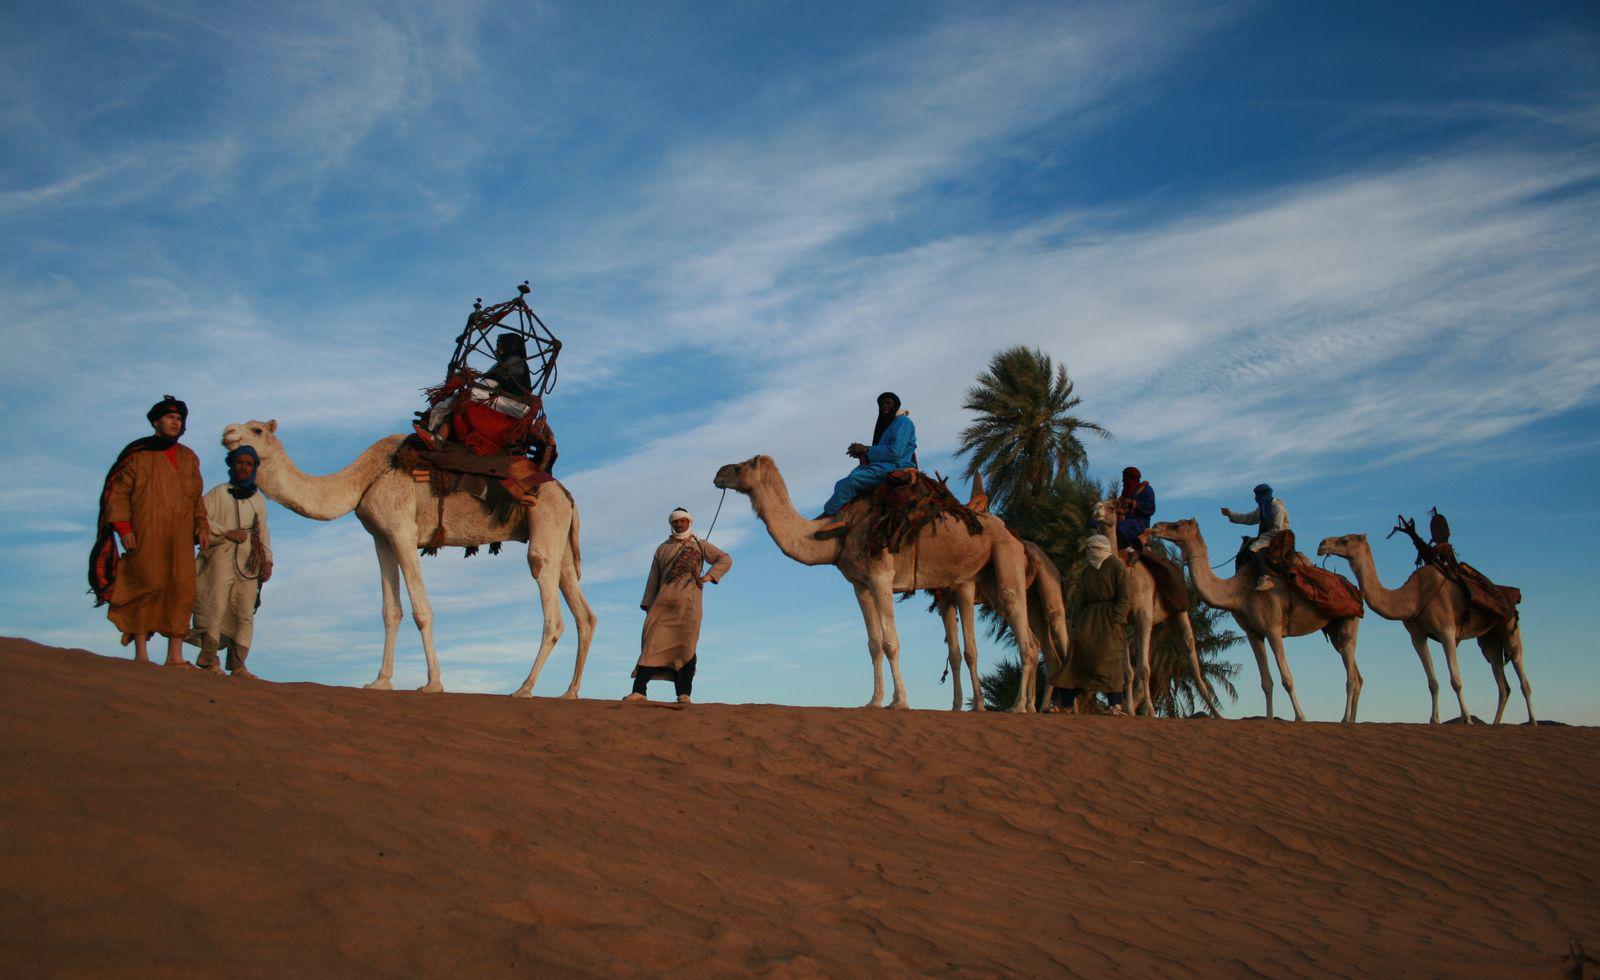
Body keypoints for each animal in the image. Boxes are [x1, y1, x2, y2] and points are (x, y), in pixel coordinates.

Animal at [222, 419, 598, 698]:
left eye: (256, 430)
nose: (228, 432)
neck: (366, 478)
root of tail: (567, 494)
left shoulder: (403, 531)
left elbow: (421, 610)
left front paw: (432, 683)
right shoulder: (381, 537)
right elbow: (391, 611)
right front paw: (380, 681)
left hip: (545, 525)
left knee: (551, 607)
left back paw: (524, 688)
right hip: (561, 541)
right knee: (584, 612)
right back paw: (570, 692)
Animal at [713, 454, 1036, 707]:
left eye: (739, 467)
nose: (718, 474)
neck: (836, 532)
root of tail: (1015, 536)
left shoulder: (881, 577)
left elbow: (891, 641)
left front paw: (900, 701)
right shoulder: (860, 585)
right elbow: (874, 643)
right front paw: (875, 701)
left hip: (1005, 560)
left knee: (1022, 632)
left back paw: (1018, 706)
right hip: (978, 580)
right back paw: (1005, 706)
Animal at [1094, 502, 1216, 717]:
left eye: (1112, 506)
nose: (1097, 508)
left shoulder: (1143, 614)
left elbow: (1143, 669)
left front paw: (1149, 711)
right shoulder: (1124, 620)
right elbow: (1129, 670)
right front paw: (1128, 710)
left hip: (1178, 613)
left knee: (1190, 653)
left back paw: (1217, 714)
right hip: (1159, 625)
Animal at [1152, 522, 1363, 720]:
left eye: (1177, 525)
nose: (1156, 527)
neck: (1238, 592)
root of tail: (1355, 590)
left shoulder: (1273, 629)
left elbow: (1287, 679)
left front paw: (1300, 717)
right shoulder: (1253, 634)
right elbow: (1266, 682)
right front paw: (1269, 719)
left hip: (1348, 621)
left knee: (1351, 676)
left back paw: (1345, 720)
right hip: (1334, 629)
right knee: (1357, 676)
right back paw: (1350, 720)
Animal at [1318, 531, 1529, 723]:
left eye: (1345, 540)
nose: (1322, 544)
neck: (1414, 597)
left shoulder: (1446, 631)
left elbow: (1456, 680)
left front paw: (1468, 719)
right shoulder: (1417, 636)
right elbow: (1432, 682)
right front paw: (1434, 720)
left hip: (1509, 624)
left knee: (1521, 672)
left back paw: (1532, 721)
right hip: (1489, 638)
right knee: (1502, 681)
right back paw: (1496, 723)